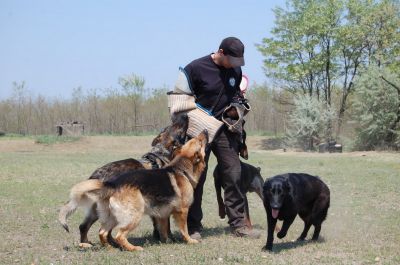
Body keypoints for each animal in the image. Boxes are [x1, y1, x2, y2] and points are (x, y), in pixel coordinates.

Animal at [60, 131, 209, 251]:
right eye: (200, 142)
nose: (206, 131)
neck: (182, 169)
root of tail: (112, 184)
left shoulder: (162, 215)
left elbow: (164, 230)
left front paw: (167, 241)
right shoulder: (182, 211)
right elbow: (184, 229)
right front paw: (190, 241)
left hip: (112, 217)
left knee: (102, 232)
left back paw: (110, 248)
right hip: (134, 215)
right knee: (119, 235)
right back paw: (133, 248)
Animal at [74, 114, 189, 248]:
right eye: (177, 126)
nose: (184, 115)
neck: (161, 153)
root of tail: (96, 175)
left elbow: (158, 224)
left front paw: (158, 237)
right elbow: (166, 225)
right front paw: (169, 238)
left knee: (86, 227)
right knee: (95, 228)